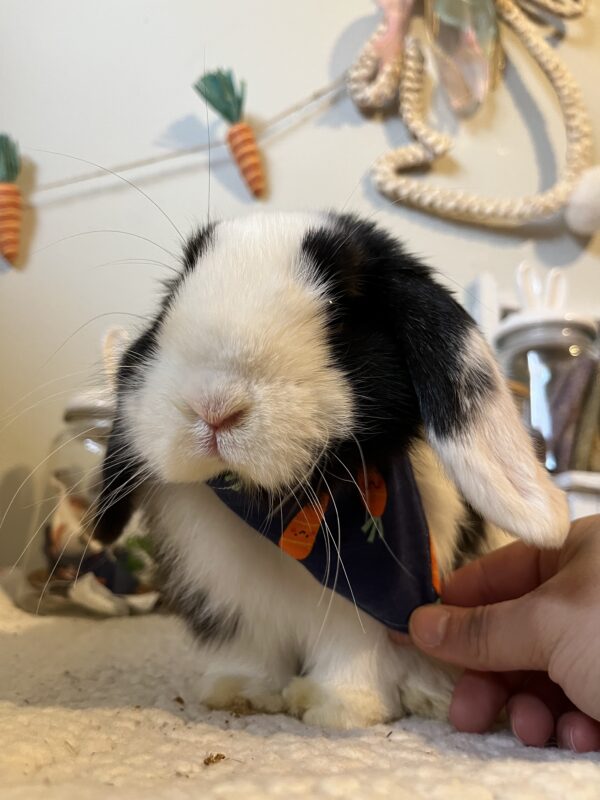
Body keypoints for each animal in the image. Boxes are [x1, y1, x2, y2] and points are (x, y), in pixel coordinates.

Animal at [92, 212, 568, 732]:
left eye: (339, 317)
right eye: (172, 297)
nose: (213, 408)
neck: (279, 512)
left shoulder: (363, 616)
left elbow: (353, 652)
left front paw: (335, 708)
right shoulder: (233, 603)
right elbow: (251, 652)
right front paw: (240, 694)